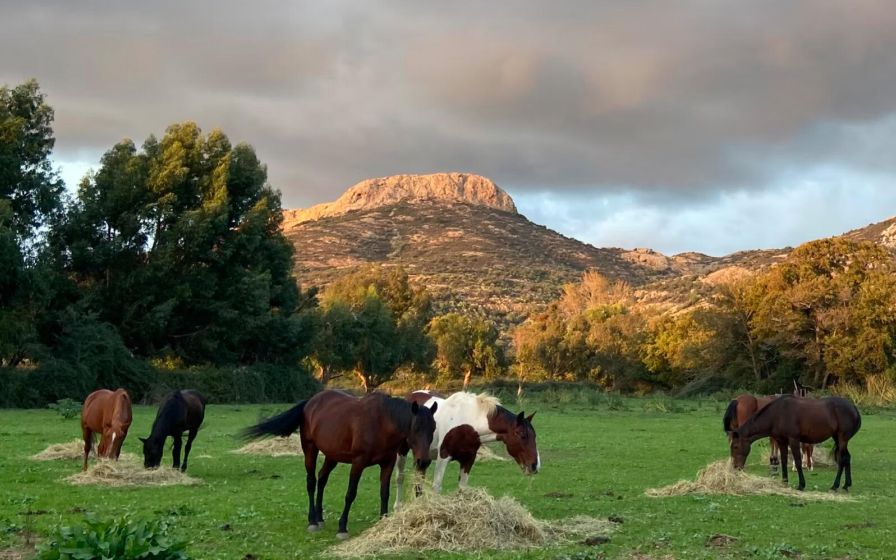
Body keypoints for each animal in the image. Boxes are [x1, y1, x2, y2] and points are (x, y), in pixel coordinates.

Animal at [243, 390, 438, 539]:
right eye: (416, 428)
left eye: (434, 428)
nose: (424, 461)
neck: (381, 423)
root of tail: (310, 402)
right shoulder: (358, 463)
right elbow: (350, 494)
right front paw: (342, 527)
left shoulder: (387, 464)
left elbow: (384, 493)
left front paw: (384, 521)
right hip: (310, 450)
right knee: (311, 482)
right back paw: (312, 521)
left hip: (332, 456)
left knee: (322, 479)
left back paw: (320, 517)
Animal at [394, 390, 539, 509]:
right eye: (522, 435)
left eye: (534, 436)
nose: (535, 465)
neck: (468, 423)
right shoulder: (443, 457)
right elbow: (437, 487)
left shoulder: (468, 459)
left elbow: (463, 489)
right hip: (403, 451)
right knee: (400, 477)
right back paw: (398, 507)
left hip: (423, 457)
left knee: (419, 481)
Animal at [729, 395, 861, 491]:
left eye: (735, 446)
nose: (736, 467)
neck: (777, 414)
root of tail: (854, 408)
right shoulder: (781, 441)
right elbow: (783, 460)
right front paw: (784, 482)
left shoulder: (793, 440)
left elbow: (798, 461)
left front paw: (801, 484)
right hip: (838, 439)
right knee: (847, 458)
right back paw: (846, 485)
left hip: (842, 439)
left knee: (842, 459)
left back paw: (835, 485)